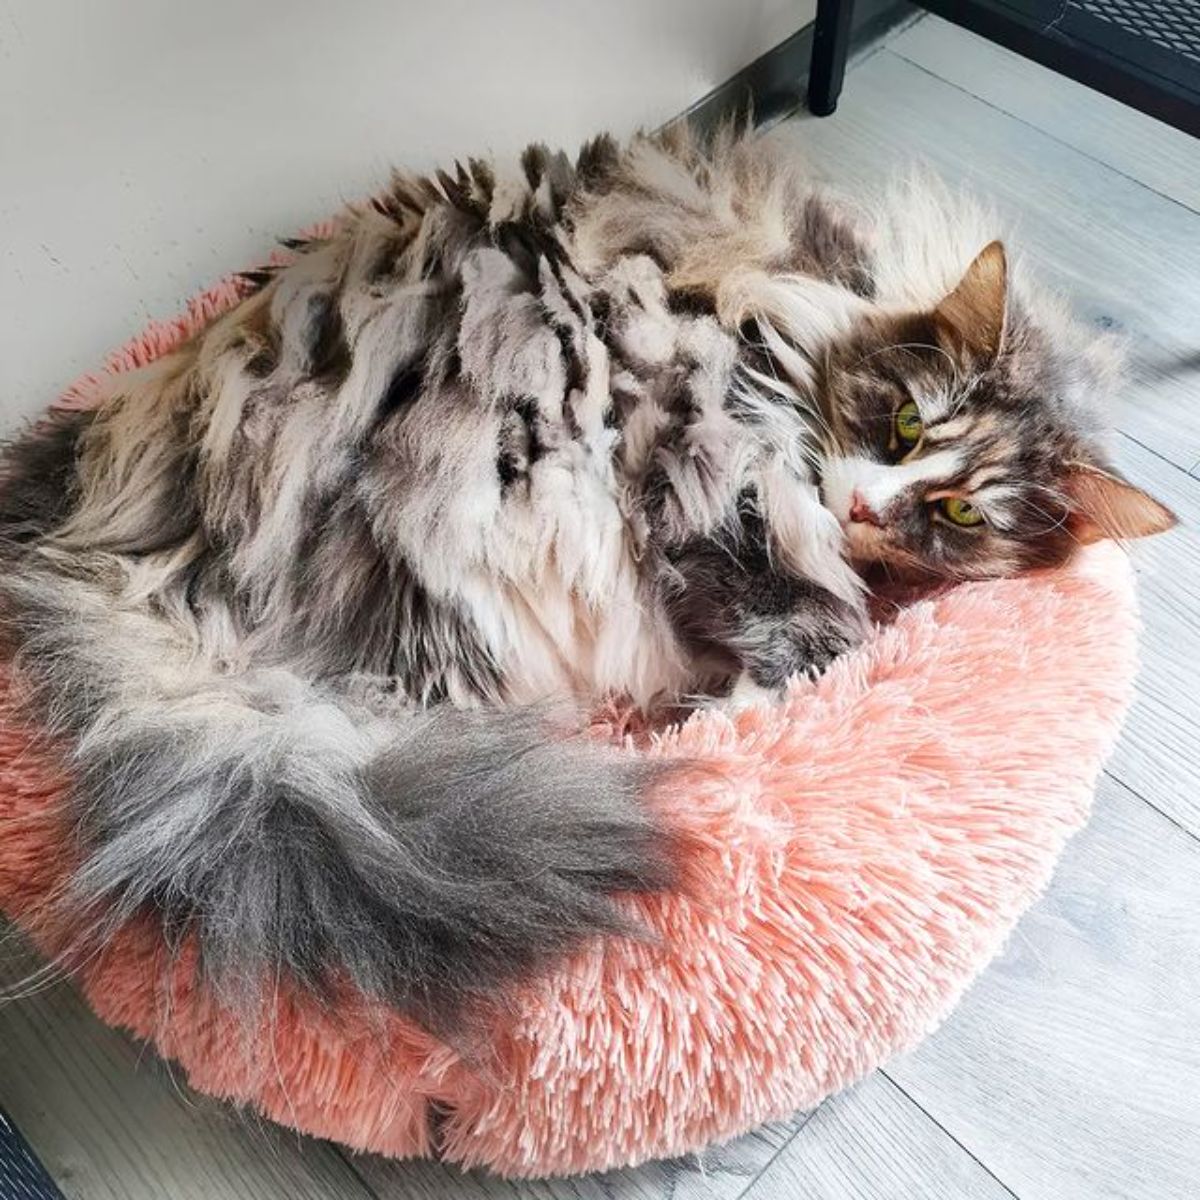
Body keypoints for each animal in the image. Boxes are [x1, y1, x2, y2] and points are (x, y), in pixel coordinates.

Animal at [0, 129, 1171, 1032]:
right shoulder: (703, 459)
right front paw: (732, 712)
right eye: (909, 425)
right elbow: (796, 627)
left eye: (963, 514)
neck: (816, 296)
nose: (869, 510)